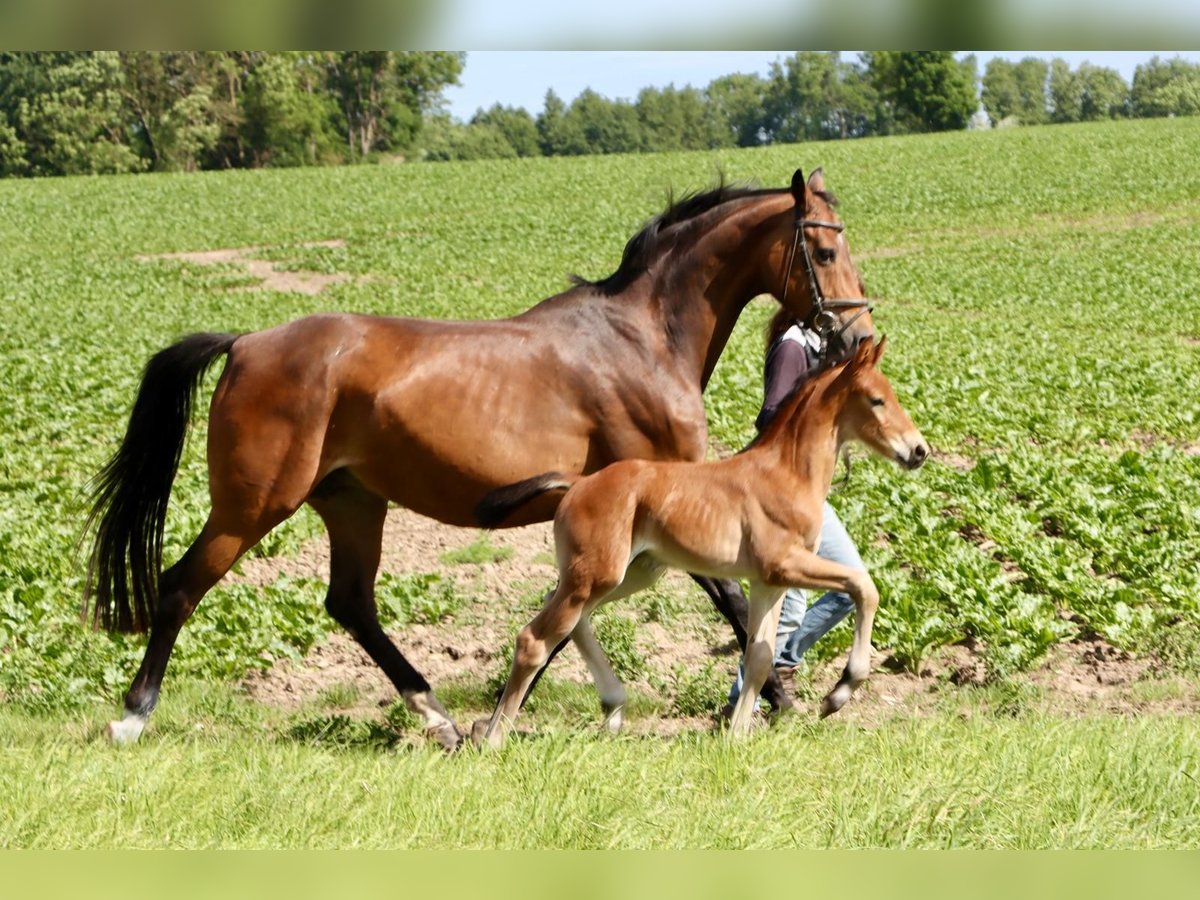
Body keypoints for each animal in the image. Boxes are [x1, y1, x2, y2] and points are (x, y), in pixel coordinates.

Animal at [472, 338, 921, 748]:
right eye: (877, 400)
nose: (919, 450)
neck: (786, 474)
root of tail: (578, 483)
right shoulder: (784, 564)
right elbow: (864, 587)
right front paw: (838, 693)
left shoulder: (768, 581)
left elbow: (759, 656)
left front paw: (736, 737)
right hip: (596, 575)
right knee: (535, 639)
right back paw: (493, 737)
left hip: (631, 574)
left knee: (571, 618)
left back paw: (613, 707)